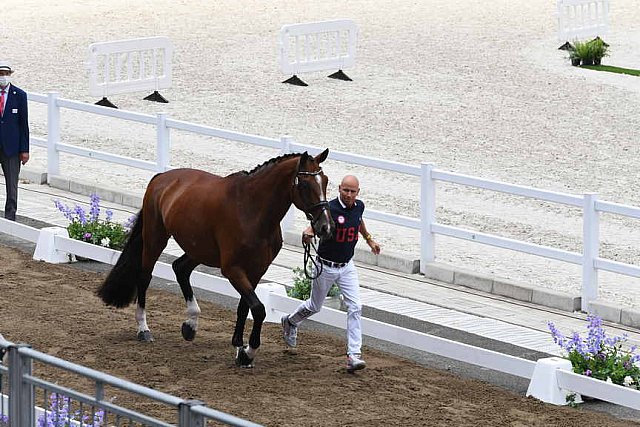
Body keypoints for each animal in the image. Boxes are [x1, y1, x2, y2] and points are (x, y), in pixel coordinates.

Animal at [97, 150, 336, 368]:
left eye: (325, 181)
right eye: (304, 184)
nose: (326, 227)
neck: (251, 210)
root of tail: (162, 177)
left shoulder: (256, 270)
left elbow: (245, 307)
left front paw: (239, 349)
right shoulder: (232, 269)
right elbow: (258, 309)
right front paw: (248, 352)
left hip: (199, 250)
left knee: (180, 268)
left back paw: (190, 325)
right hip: (156, 238)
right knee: (145, 277)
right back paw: (143, 329)